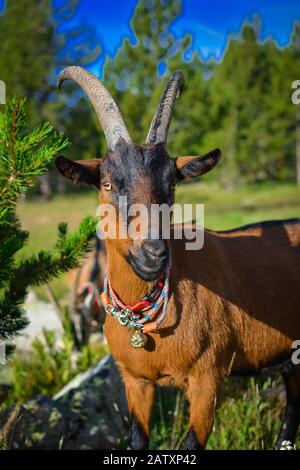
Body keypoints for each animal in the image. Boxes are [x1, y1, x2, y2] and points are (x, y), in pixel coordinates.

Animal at [54, 65, 300, 448]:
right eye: (107, 184)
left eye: (171, 184)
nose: (154, 252)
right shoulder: (136, 381)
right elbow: (137, 440)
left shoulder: (207, 379)